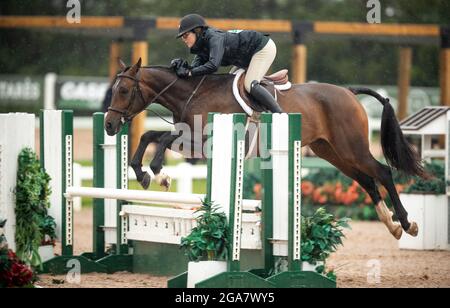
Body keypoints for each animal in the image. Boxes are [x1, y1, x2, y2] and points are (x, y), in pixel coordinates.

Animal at [104, 57, 426, 241]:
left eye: (123, 90)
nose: (108, 124)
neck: (193, 93)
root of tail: (348, 91)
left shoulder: (204, 142)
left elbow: (162, 140)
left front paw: (159, 173)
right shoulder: (192, 142)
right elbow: (151, 135)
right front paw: (144, 174)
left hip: (351, 148)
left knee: (382, 172)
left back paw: (406, 223)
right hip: (332, 152)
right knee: (366, 180)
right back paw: (392, 225)